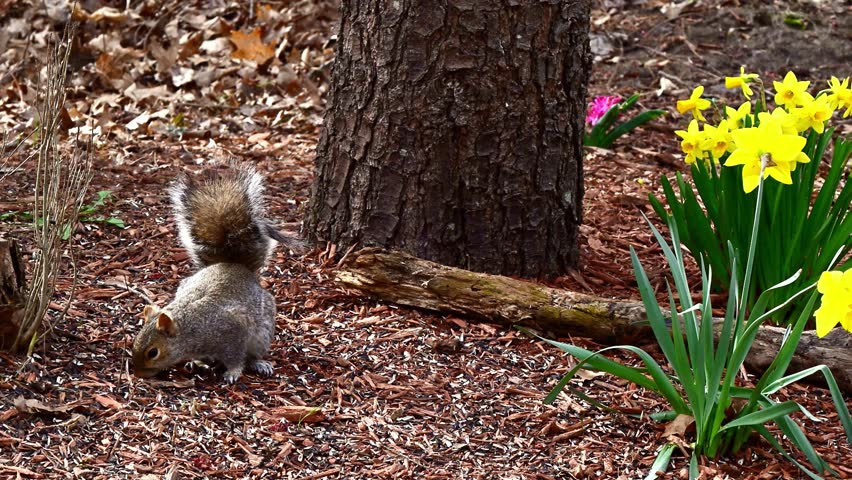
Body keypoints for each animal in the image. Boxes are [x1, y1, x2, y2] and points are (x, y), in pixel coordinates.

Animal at [132, 164, 301, 384]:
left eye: (153, 352)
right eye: (134, 342)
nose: (137, 374)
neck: (189, 328)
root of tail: (235, 266)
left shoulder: (232, 331)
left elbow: (236, 358)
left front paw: (232, 373)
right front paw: (197, 362)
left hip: (262, 333)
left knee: (254, 353)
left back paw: (258, 363)